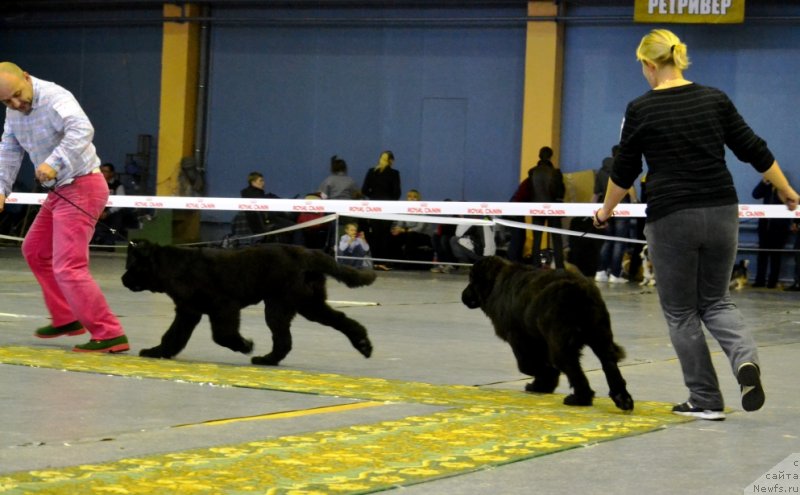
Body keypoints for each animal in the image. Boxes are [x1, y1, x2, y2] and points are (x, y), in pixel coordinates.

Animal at [122, 242, 378, 366]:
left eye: (132, 266)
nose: (123, 279)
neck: (174, 267)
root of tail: (307, 254)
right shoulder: (188, 311)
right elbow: (173, 336)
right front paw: (157, 352)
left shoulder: (224, 306)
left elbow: (222, 335)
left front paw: (245, 345)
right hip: (308, 304)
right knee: (342, 320)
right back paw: (363, 345)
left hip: (280, 306)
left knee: (284, 339)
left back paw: (264, 359)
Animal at [460, 256, 636, 410]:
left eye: (472, 280)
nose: (463, 296)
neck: (495, 283)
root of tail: (579, 291)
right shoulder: (540, 341)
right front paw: (542, 385)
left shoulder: (520, 339)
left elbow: (527, 365)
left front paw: (544, 379)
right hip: (600, 336)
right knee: (609, 365)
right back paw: (622, 399)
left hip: (561, 343)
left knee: (574, 369)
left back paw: (580, 399)